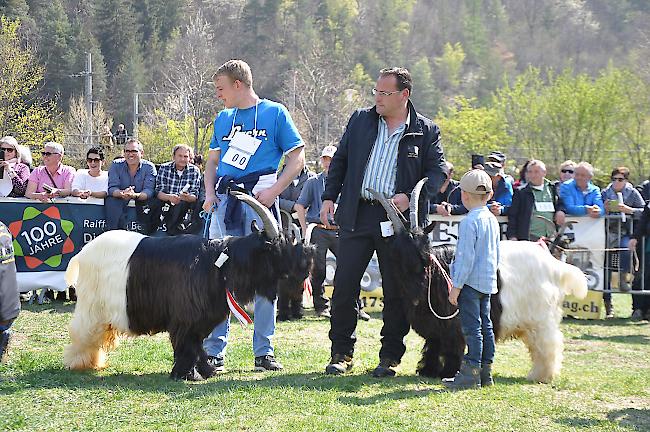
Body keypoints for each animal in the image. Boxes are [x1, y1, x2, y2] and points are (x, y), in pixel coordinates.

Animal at [63, 194, 314, 380]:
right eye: (282, 244)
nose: (309, 254)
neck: (220, 263)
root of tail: (83, 254)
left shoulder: (202, 319)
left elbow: (197, 345)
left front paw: (206, 370)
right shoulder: (185, 317)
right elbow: (187, 344)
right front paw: (185, 374)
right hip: (92, 307)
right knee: (82, 331)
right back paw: (78, 362)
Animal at [370, 181, 588, 384]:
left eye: (425, 247)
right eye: (398, 251)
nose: (419, 271)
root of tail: (554, 265)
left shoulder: (454, 323)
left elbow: (453, 345)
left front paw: (449, 372)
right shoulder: (434, 326)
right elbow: (433, 344)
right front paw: (428, 370)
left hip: (541, 318)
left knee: (548, 344)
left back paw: (541, 375)